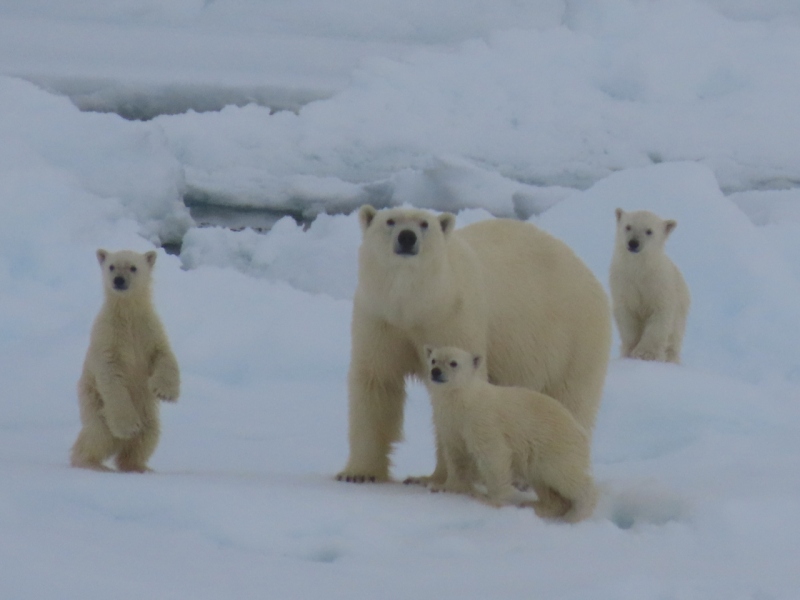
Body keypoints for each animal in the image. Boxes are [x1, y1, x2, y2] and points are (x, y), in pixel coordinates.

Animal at [70, 248, 180, 474]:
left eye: (133, 267)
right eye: (111, 266)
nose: (119, 280)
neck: (128, 313)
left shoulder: (149, 330)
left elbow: (164, 355)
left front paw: (165, 392)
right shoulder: (108, 337)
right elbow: (112, 377)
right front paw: (129, 427)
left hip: (147, 412)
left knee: (148, 435)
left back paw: (139, 467)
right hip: (94, 405)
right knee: (98, 433)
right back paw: (93, 463)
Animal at [334, 206, 608, 482]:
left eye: (424, 224)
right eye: (390, 221)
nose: (407, 237)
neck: (416, 305)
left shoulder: (452, 319)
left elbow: (457, 389)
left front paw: (437, 479)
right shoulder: (380, 319)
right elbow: (376, 381)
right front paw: (359, 473)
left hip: (572, 341)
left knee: (569, 401)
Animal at [422, 344, 596, 524]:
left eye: (453, 363)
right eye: (433, 360)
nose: (435, 371)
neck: (463, 399)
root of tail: (580, 432)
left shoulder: (482, 419)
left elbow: (493, 454)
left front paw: (491, 500)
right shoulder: (450, 423)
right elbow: (456, 454)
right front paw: (444, 487)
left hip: (555, 446)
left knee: (564, 474)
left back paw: (577, 513)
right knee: (542, 480)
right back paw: (536, 506)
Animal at [612, 209, 688, 364]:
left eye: (649, 231)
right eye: (628, 226)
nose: (633, 243)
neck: (639, 269)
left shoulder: (659, 285)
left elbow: (659, 318)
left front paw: (646, 354)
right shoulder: (622, 282)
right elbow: (627, 318)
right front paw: (630, 351)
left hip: (680, 318)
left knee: (673, 342)